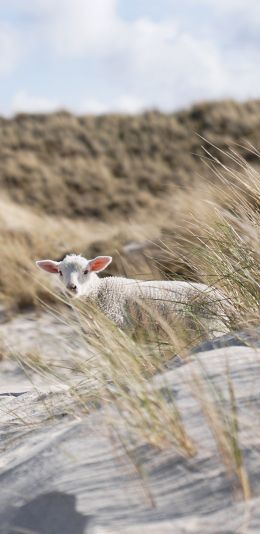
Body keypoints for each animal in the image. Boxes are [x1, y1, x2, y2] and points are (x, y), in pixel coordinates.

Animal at [35, 253, 231, 338]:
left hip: (212, 323)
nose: (72, 288)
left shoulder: (120, 324)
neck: (98, 292)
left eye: (86, 271)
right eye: (60, 272)